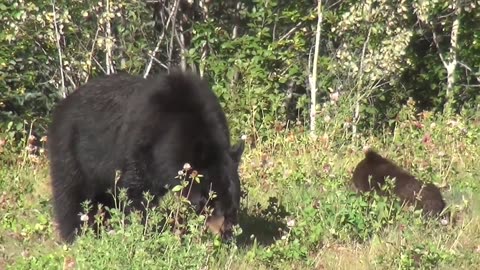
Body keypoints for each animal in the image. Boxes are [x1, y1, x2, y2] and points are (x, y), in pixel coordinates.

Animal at [47, 70, 246, 244]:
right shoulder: (141, 149)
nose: (227, 235)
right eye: (211, 202)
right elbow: (137, 194)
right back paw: (75, 235)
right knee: (71, 193)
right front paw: (142, 232)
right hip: (71, 149)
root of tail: (63, 104)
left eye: (234, 206)